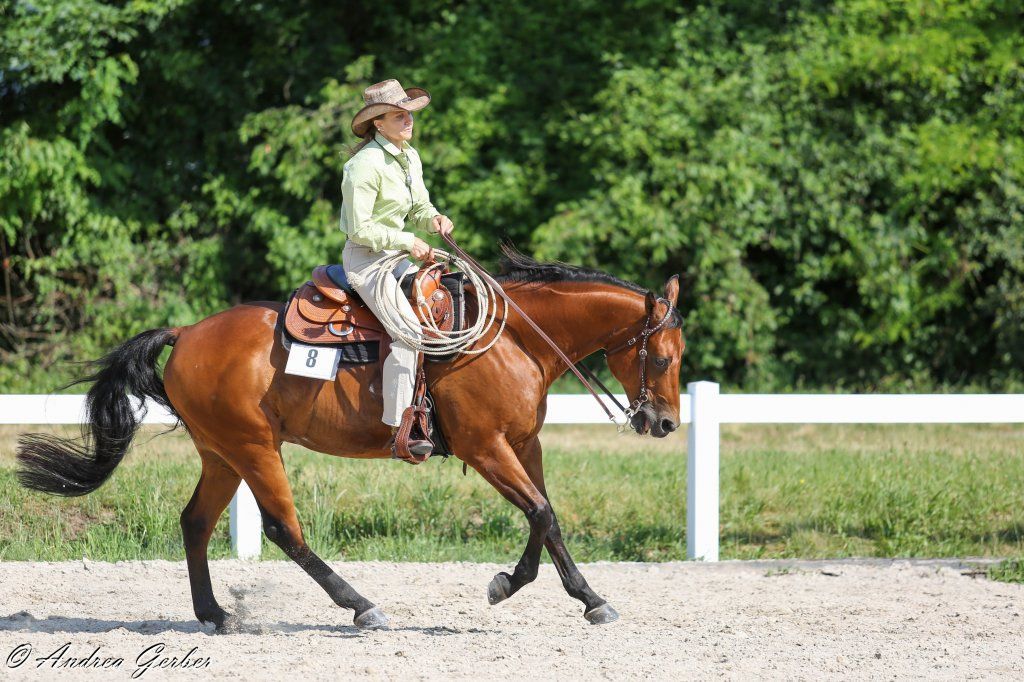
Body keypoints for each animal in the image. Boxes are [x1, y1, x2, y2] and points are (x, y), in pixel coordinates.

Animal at [16, 249, 685, 630]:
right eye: (663, 356)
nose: (665, 423)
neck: (511, 339)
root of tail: (186, 332)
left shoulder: (523, 446)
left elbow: (547, 519)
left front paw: (577, 596)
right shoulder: (486, 448)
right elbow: (542, 513)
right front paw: (520, 588)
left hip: (221, 453)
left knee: (196, 523)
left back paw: (214, 615)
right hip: (255, 449)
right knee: (284, 529)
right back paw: (361, 605)